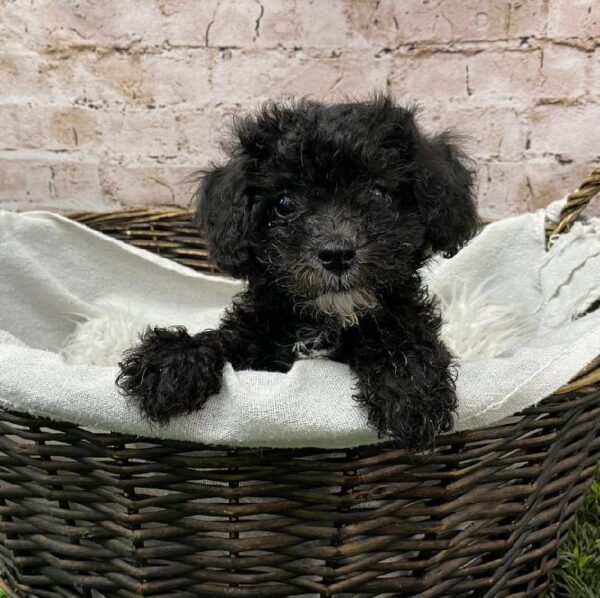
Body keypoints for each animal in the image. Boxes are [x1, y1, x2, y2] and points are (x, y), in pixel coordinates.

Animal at [117, 95, 476, 450]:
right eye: (285, 204)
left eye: (377, 193)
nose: (337, 253)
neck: (325, 321)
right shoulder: (257, 345)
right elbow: (221, 341)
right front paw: (171, 364)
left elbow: (402, 339)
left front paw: (409, 388)